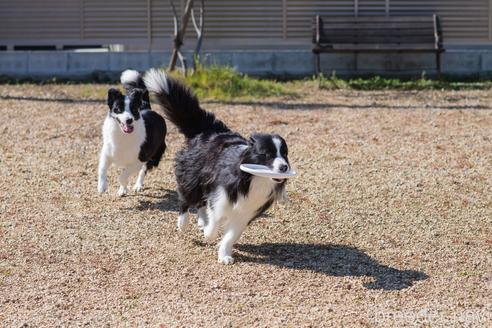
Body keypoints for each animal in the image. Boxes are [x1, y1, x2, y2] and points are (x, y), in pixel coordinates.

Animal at [142, 68, 290, 264]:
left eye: (285, 154)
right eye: (266, 154)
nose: (284, 168)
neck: (253, 179)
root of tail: (208, 129)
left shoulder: (246, 210)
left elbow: (231, 235)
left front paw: (225, 255)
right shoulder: (221, 194)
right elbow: (216, 219)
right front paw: (208, 233)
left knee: (201, 203)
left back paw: (201, 220)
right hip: (192, 176)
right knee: (186, 199)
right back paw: (184, 223)